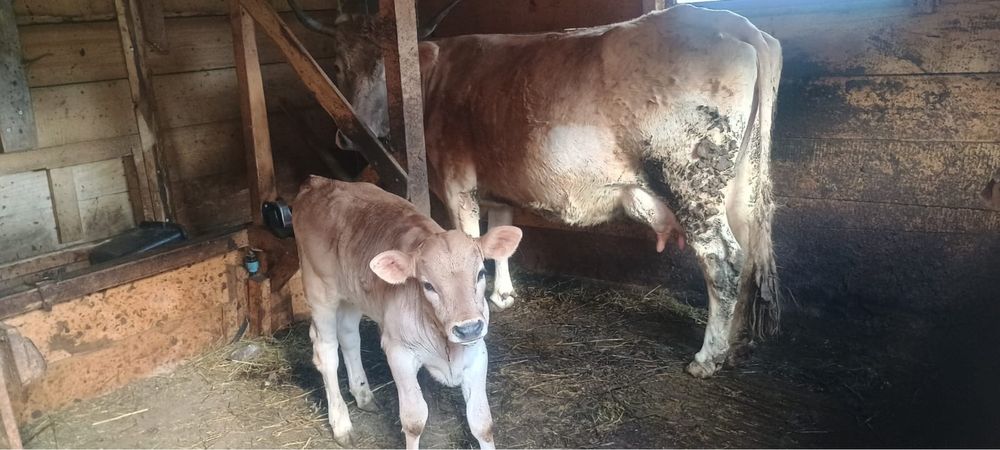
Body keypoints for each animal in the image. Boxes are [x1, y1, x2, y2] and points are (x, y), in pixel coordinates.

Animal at [292, 2, 782, 378]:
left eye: (387, 70)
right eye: (339, 66)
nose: (349, 136)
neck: (440, 78)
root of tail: (735, 24)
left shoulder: (456, 180)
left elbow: (470, 238)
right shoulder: (495, 187)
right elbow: (501, 234)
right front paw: (504, 294)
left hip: (693, 185)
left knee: (723, 261)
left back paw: (708, 357)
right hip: (742, 187)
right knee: (746, 257)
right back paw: (735, 343)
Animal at [293, 177, 522, 449]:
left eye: (481, 273)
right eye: (428, 285)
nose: (468, 328)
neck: (443, 343)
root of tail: (318, 182)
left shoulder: (477, 353)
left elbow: (482, 422)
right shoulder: (398, 353)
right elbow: (414, 420)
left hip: (353, 295)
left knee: (349, 337)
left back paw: (363, 394)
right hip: (319, 290)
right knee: (326, 353)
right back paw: (341, 424)